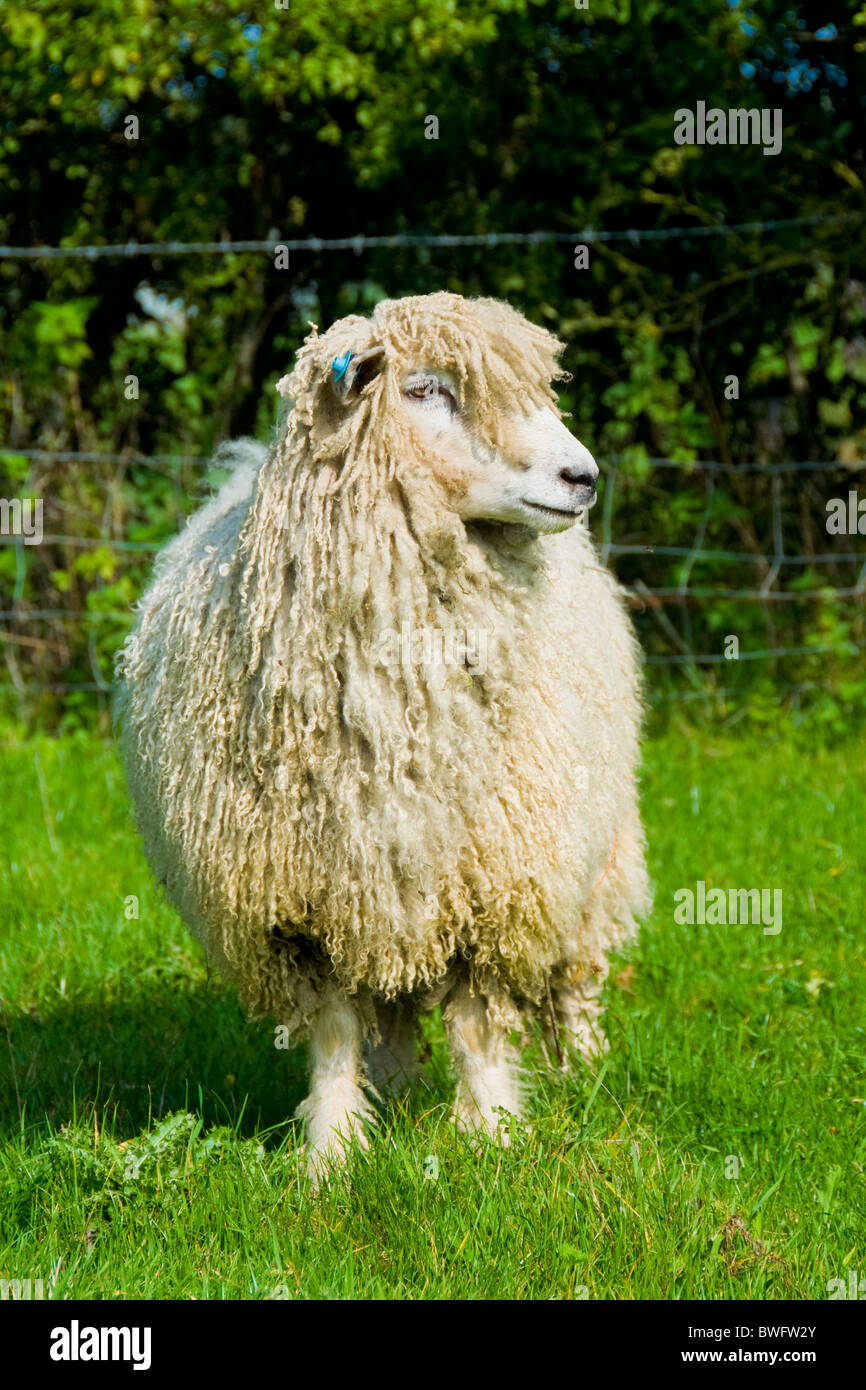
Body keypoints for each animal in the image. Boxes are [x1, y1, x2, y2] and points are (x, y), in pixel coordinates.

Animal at [116, 292, 651, 1178]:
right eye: (427, 389)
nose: (583, 477)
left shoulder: (497, 879)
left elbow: (477, 1020)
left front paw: (490, 1138)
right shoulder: (301, 900)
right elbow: (334, 1030)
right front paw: (331, 1153)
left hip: (591, 856)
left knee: (574, 975)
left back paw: (585, 1070)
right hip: (387, 886)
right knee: (391, 1001)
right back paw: (395, 1090)